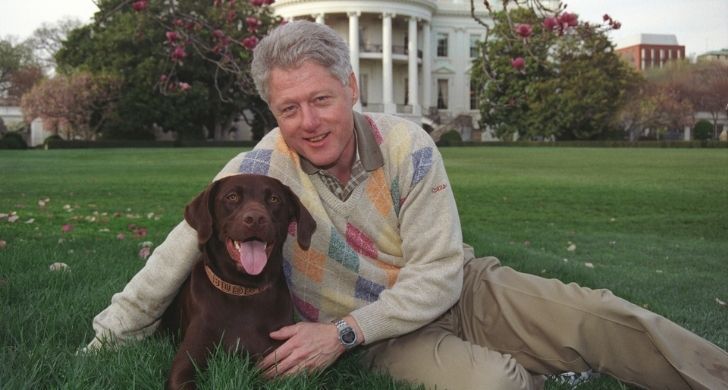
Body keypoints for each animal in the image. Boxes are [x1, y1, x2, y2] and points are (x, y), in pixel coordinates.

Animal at [161, 175, 314, 390]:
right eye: (232, 196)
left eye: (274, 199)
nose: (256, 219)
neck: (243, 289)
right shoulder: (185, 362)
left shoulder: (280, 360)